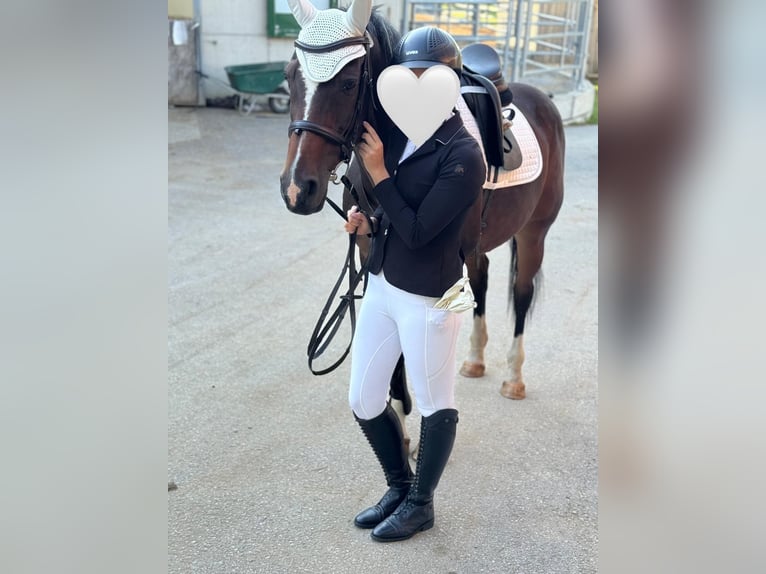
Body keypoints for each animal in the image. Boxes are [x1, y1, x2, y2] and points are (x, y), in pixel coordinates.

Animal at [279, 0, 565, 446]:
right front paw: (398, 414)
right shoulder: (370, 250)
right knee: (482, 280)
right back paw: (475, 359)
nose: (297, 188)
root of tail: (542, 99)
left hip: (534, 233)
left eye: (347, 83)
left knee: (521, 294)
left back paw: (514, 376)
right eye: (290, 76)